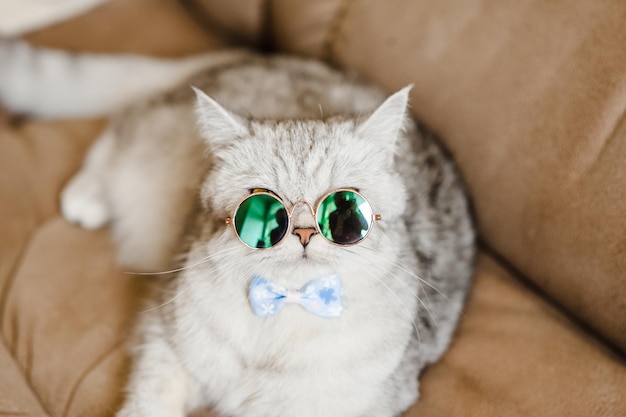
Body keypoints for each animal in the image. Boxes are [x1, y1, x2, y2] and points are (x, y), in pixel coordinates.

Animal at [0, 41, 472, 416]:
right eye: (264, 209)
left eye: (346, 211)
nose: (304, 233)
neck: (281, 314)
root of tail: (254, 57)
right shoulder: (166, 341)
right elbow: (148, 401)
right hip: (150, 157)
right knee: (122, 126)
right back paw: (87, 194)